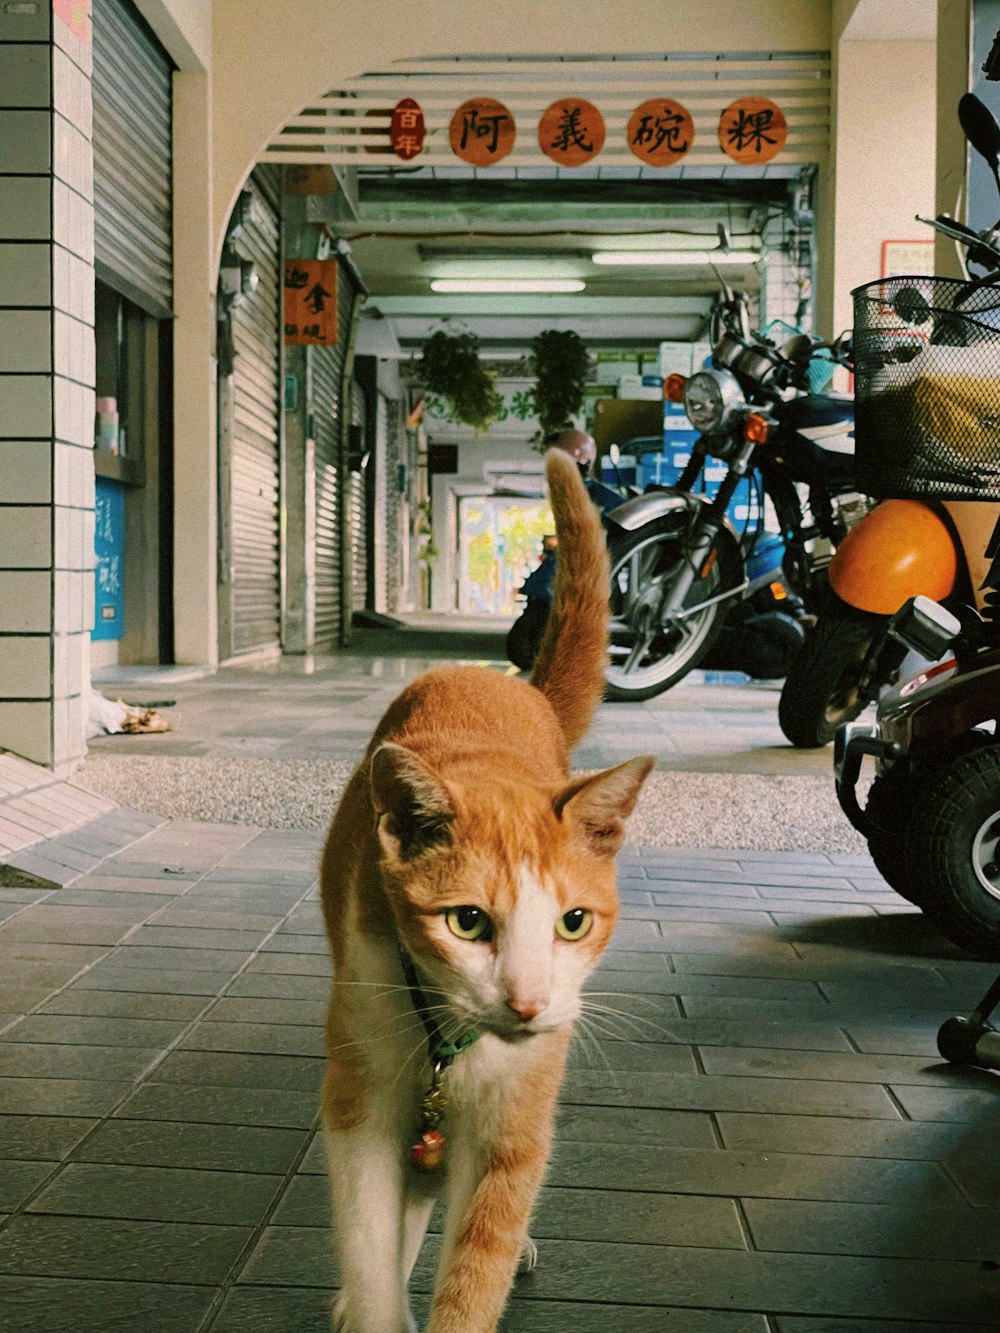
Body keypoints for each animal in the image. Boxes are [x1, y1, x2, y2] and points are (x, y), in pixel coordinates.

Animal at [317, 450, 653, 1333]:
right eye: (467, 922)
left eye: (574, 921)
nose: (529, 1002)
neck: (451, 1042)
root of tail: (506, 682)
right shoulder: (363, 1088)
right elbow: (368, 1230)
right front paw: (371, 1301)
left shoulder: (515, 1120)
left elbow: (479, 1259)